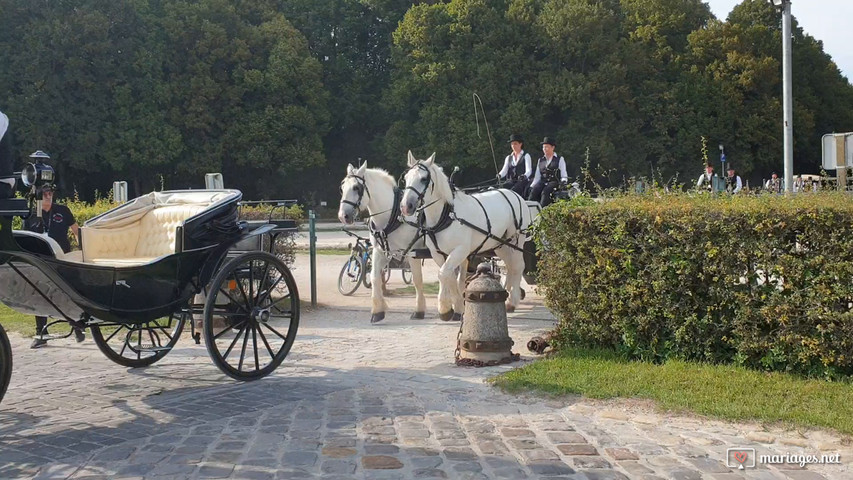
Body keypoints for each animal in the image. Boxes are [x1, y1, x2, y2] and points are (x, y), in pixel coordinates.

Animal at [334, 163, 424, 324]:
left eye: (356, 188)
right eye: (342, 188)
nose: (343, 216)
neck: (393, 215)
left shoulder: (413, 253)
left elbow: (417, 280)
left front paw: (419, 310)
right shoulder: (380, 251)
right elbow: (375, 277)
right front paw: (378, 311)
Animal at [402, 152, 532, 316]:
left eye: (424, 179)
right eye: (406, 178)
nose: (406, 206)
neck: (446, 215)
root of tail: (515, 195)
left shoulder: (460, 250)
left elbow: (443, 274)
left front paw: (446, 308)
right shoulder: (438, 253)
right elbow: (448, 275)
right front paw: (455, 307)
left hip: (516, 242)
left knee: (518, 266)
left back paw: (512, 301)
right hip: (501, 245)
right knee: (510, 267)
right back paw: (508, 296)